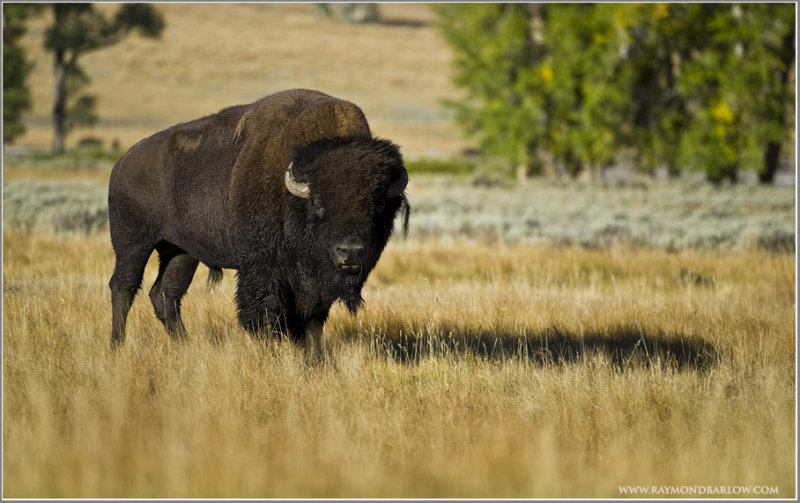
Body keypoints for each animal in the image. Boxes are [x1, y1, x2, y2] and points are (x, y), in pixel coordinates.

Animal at [109, 88, 410, 354]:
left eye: (378, 206)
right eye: (318, 204)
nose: (350, 252)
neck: (293, 198)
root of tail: (122, 163)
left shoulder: (315, 286)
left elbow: (313, 322)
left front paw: (315, 360)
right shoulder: (262, 266)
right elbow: (264, 314)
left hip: (181, 252)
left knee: (165, 294)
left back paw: (186, 346)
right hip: (132, 245)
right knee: (123, 287)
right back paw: (117, 347)